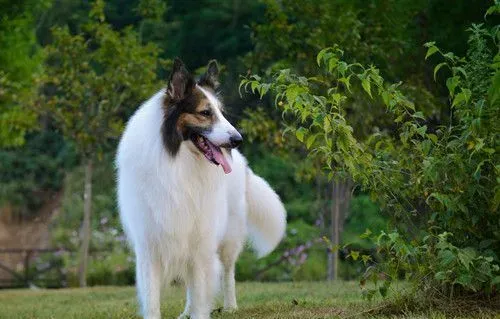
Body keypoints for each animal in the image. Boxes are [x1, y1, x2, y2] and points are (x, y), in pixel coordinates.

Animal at [116, 58, 286, 319]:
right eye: (205, 113)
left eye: (222, 113)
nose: (238, 140)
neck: (178, 164)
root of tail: (243, 163)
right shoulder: (150, 246)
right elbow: (153, 298)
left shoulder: (200, 242)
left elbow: (201, 292)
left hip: (228, 238)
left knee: (227, 273)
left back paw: (230, 306)